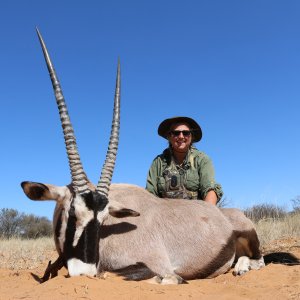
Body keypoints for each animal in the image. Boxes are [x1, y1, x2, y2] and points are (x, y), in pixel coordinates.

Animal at [21, 29, 264, 284]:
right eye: (72, 213)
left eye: (103, 220)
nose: (83, 272)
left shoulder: (156, 267)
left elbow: (136, 276)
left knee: (259, 260)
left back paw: (242, 267)